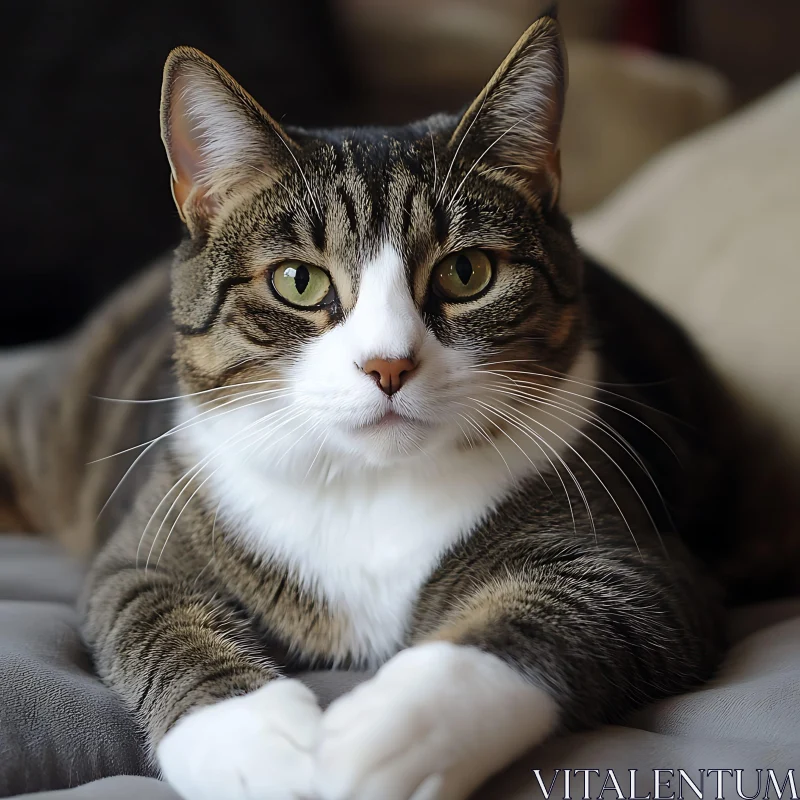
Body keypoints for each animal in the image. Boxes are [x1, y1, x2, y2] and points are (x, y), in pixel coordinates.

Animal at [0, 10, 768, 800]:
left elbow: (542, 619)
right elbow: (156, 617)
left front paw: (384, 738)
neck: (365, 484)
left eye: (467, 272)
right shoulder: (147, 547)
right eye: (298, 282)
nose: (388, 364)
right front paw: (259, 749)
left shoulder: (638, 564)